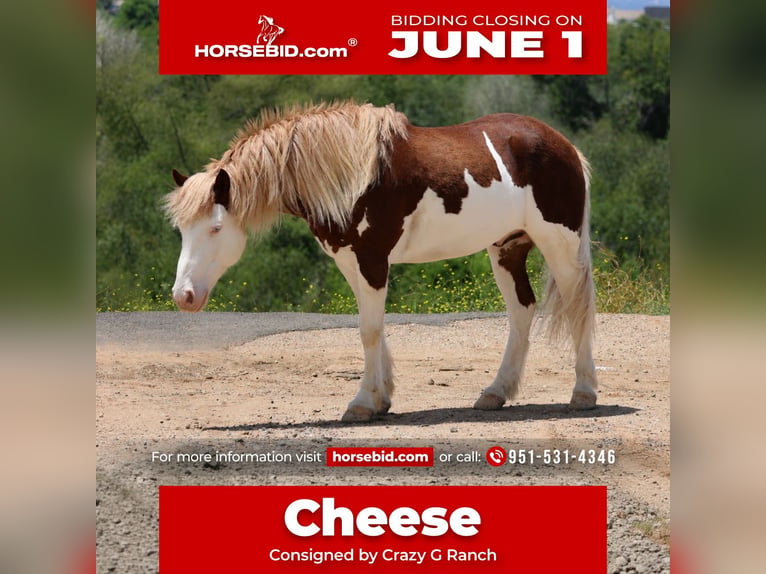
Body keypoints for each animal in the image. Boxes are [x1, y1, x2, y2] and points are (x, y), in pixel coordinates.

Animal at [165, 101, 598, 422]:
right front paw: (381, 398)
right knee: (522, 311)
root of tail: (564, 145)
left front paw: (362, 403)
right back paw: (496, 393)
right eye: (181, 229)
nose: (184, 296)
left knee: (578, 308)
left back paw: (583, 392)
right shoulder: (351, 261)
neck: (351, 174)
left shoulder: (372, 259)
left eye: (215, 227)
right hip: (506, 248)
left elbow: (369, 331)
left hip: (559, 244)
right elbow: (372, 328)